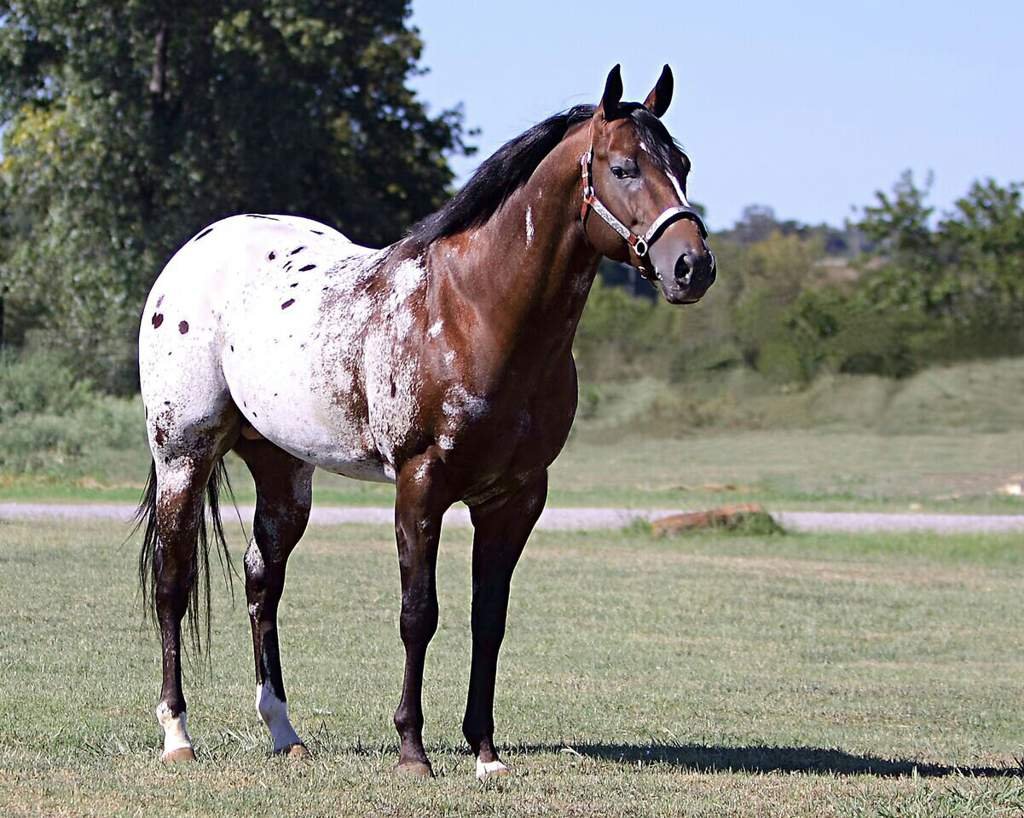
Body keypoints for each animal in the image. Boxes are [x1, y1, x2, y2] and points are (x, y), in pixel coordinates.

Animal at [134, 65, 712, 782]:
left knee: (262, 579)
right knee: (173, 583)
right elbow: (419, 614)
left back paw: (284, 733)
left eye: (682, 165)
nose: (693, 266)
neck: (475, 312)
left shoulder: (515, 498)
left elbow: (488, 619)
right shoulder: (421, 484)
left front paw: (486, 752)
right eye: (624, 167)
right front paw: (414, 749)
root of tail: (191, 254)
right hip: (182, 456)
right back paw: (176, 734)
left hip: (283, 471)